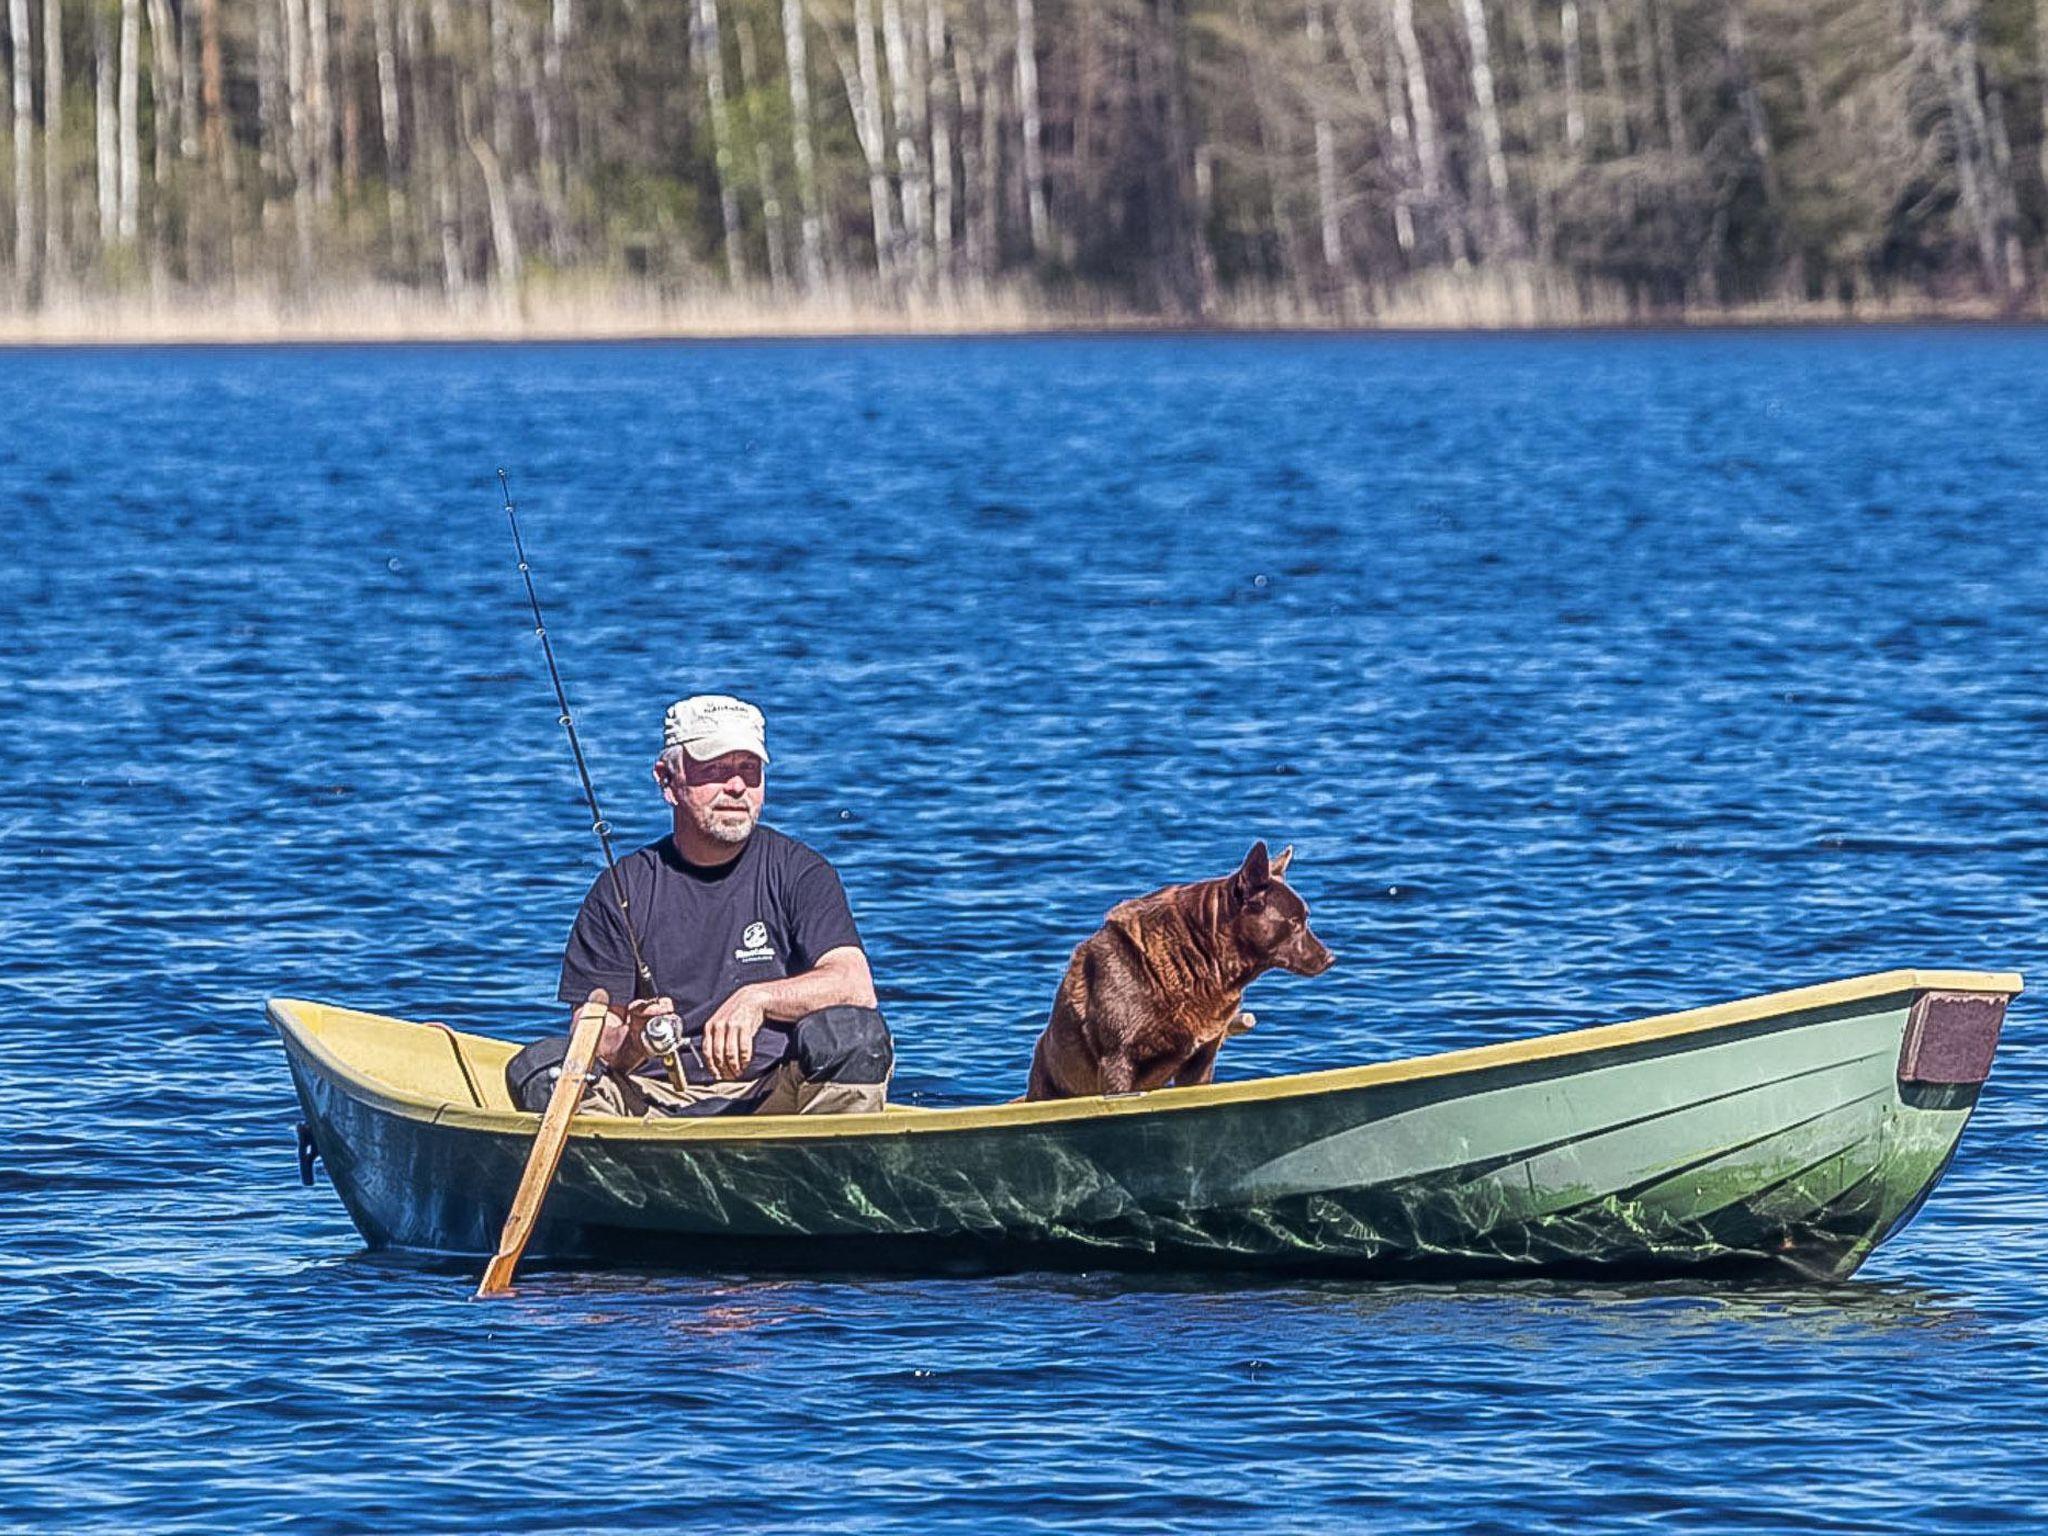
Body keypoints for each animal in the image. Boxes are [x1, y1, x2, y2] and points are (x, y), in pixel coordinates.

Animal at [1024, 843, 1343, 1105]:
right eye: (1295, 922)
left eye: (1305, 918)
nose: (1330, 958)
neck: (1199, 955)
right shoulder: (1117, 1060)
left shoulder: (1202, 1058)